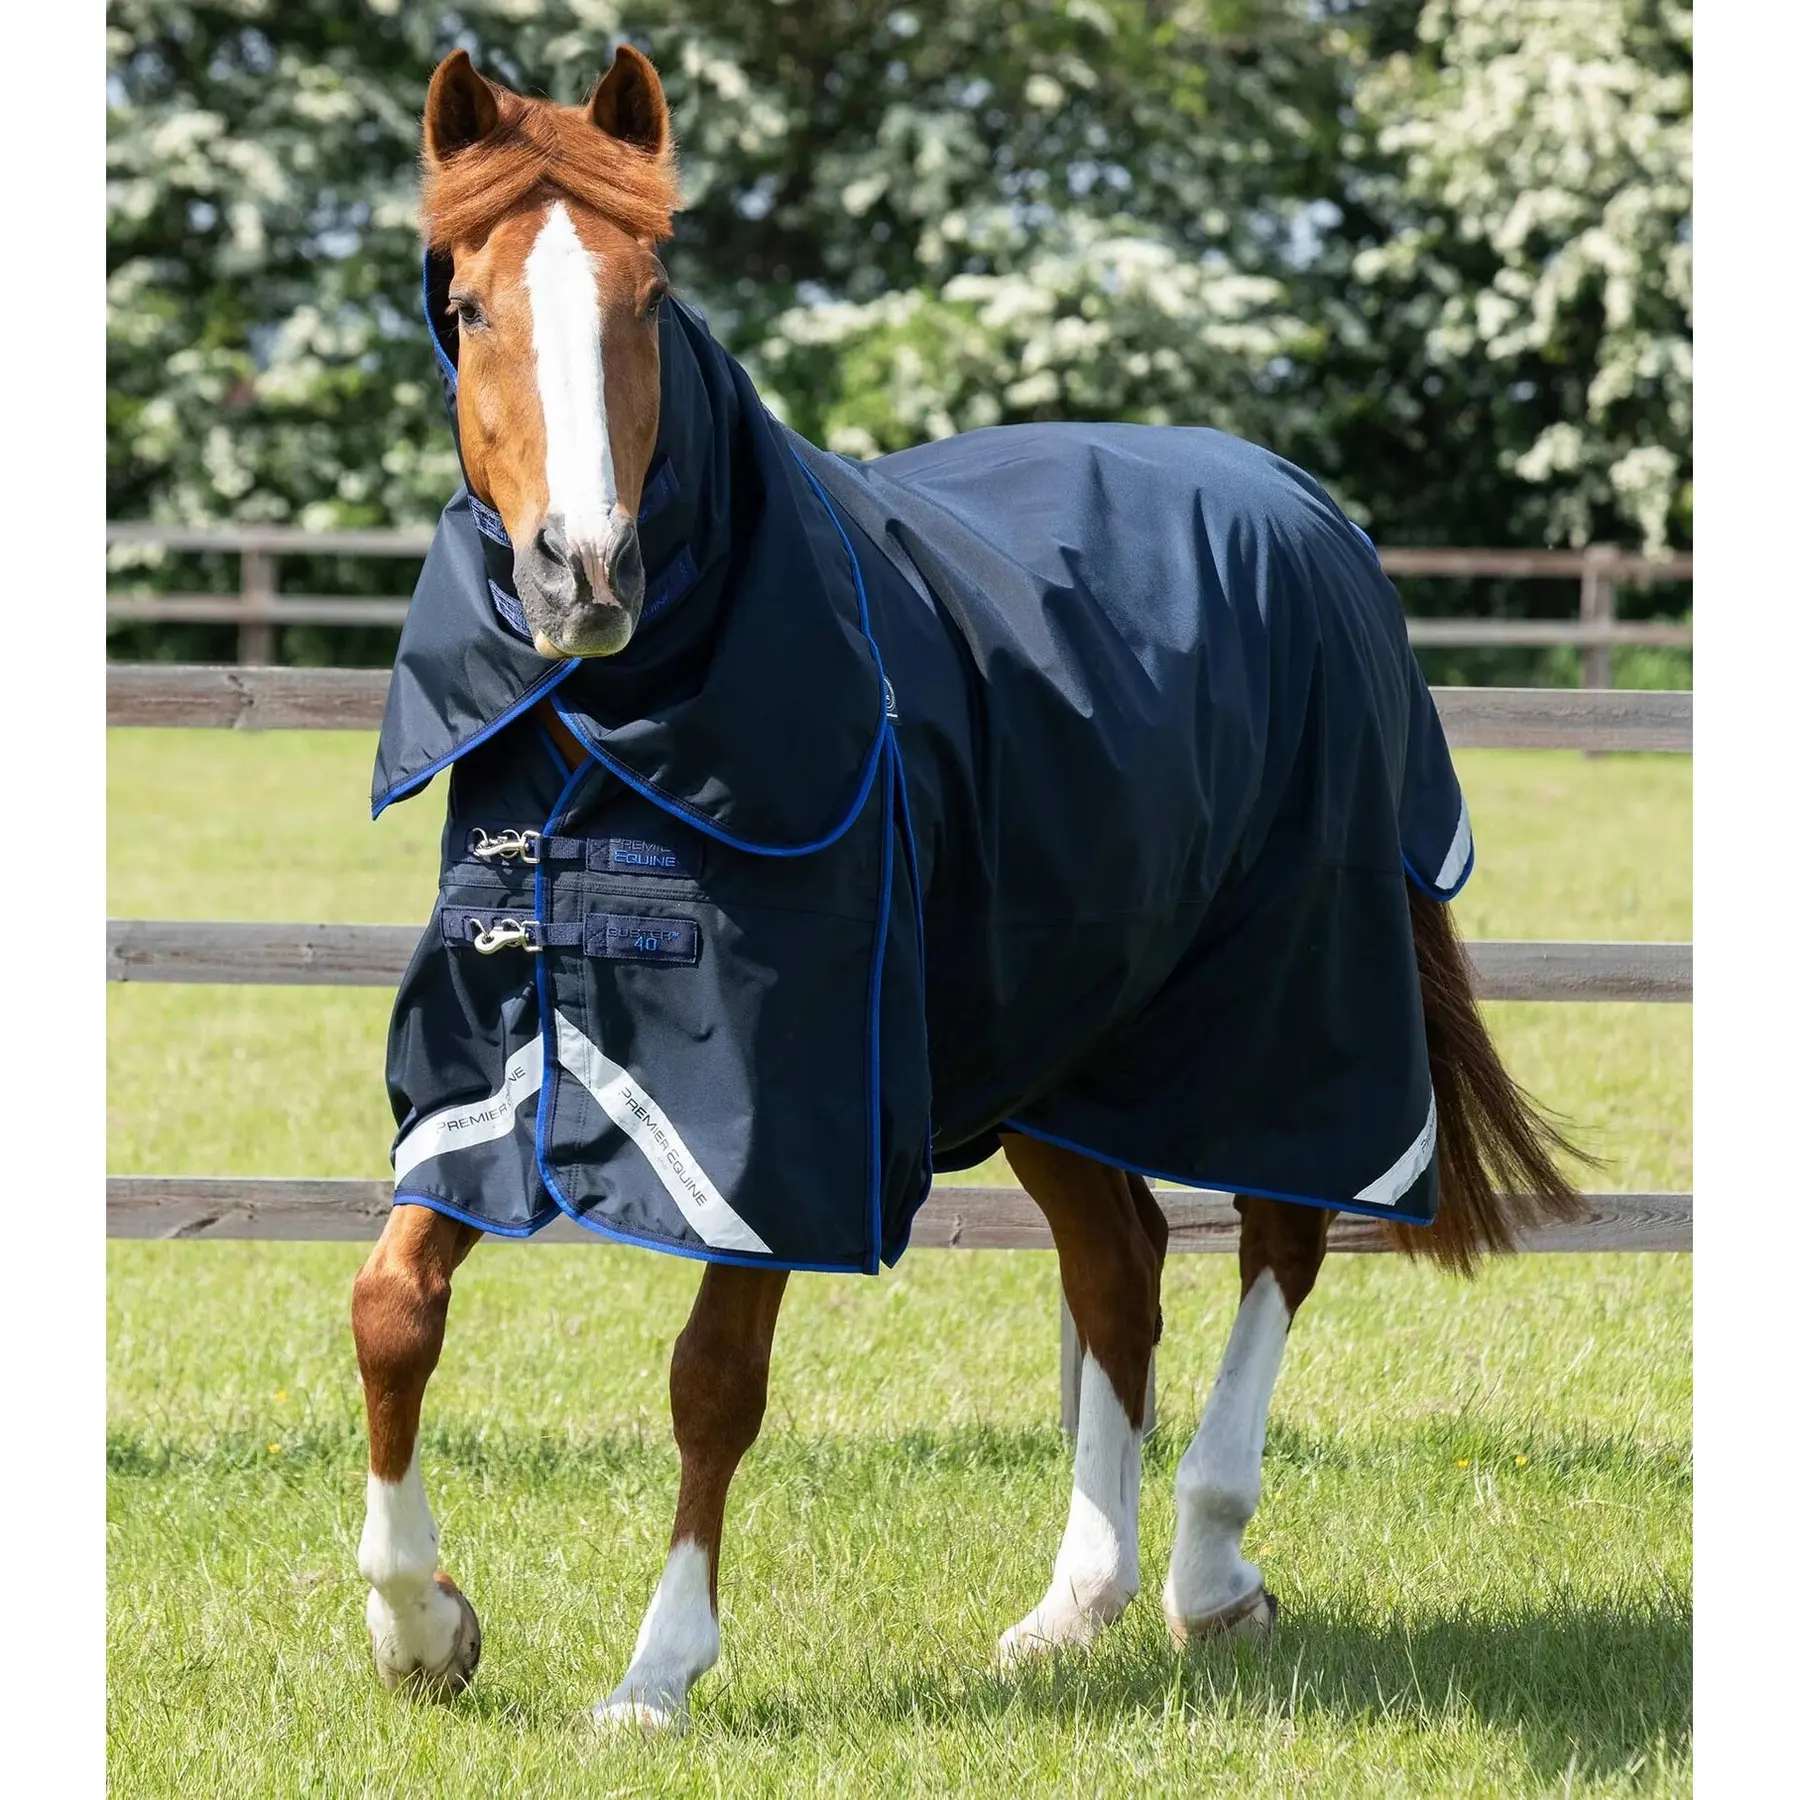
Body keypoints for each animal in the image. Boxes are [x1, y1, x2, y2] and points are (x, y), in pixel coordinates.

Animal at [350, 44, 1586, 1730]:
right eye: (471, 307)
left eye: (648, 295)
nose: (581, 573)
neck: (615, 734)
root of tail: (1303, 506)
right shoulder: (493, 1069)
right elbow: (392, 1310)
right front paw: (424, 1631)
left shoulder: (783, 1123)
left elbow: (712, 1382)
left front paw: (657, 1674)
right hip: (1059, 1045)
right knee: (1124, 1271)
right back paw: (1074, 1607)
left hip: (1289, 998)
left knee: (1283, 1237)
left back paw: (1209, 1574)